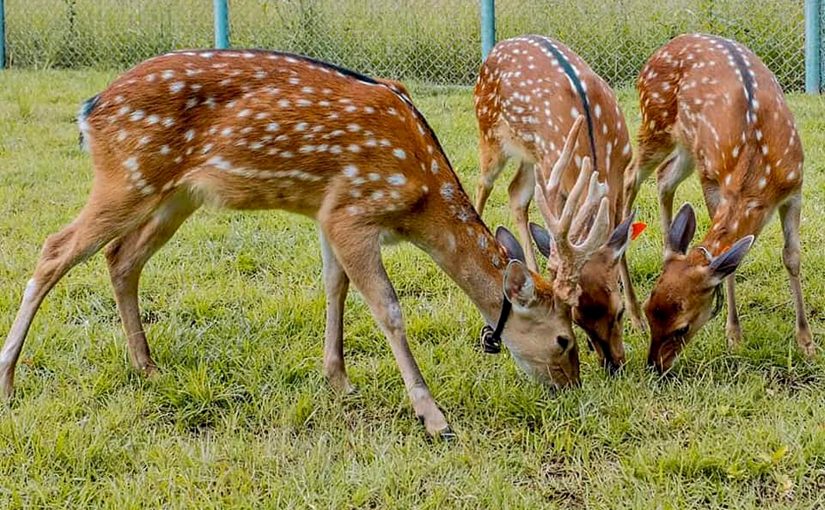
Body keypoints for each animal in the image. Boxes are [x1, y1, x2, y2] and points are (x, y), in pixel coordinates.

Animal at [0, 49, 612, 436]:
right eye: (565, 339)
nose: (572, 389)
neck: (419, 197)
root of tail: (89, 110)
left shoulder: (327, 211)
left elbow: (334, 286)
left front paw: (338, 380)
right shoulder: (354, 209)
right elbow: (388, 308)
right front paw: (434, 417)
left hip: (176, 196)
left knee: (121, 258)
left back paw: (148, 367)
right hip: (127, 177)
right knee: (55, 248)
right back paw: (8, 379)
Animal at [474, 35, 640, 370]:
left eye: (618, 311)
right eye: (577, 320)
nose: (613, 364)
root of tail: (495, 50)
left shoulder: (623, 168)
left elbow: (623, 243)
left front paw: (641, 319)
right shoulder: (555, 175)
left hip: (529, 155)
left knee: (515, 193)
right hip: (490, 135)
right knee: (482, 186)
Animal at [628, 33, 816, 372]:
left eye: (682, 327)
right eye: (652, 309)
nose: (654, 366)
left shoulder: (795, 186)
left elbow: (792, 257)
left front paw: (807, 344)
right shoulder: (713, 178)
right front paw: (734, 335)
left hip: (686, 146)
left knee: (664, 178)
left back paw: (667, 247)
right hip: (655, 124)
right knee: (628, 181)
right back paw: (630, 312)